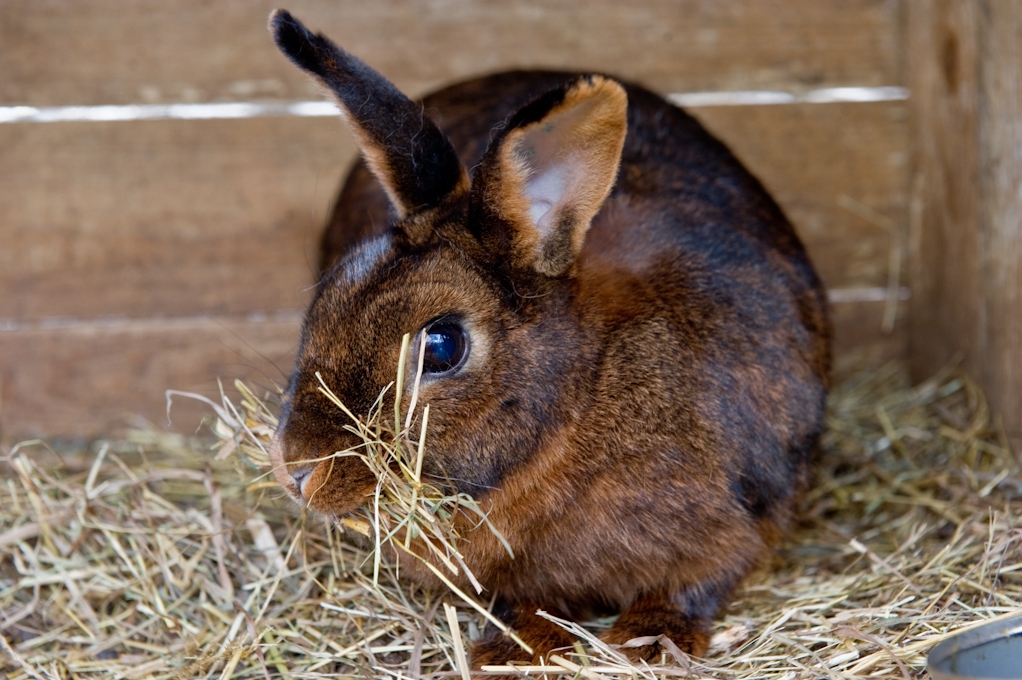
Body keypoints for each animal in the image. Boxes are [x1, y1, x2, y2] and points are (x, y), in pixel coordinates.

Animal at [265, 9, 829, 666]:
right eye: (328, 297)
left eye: (441, 346)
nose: (296, 469)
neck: (574, 410)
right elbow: (535, 605)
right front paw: (513, 653)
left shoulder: (731, 530)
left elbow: (688, 586)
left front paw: (647, 644)